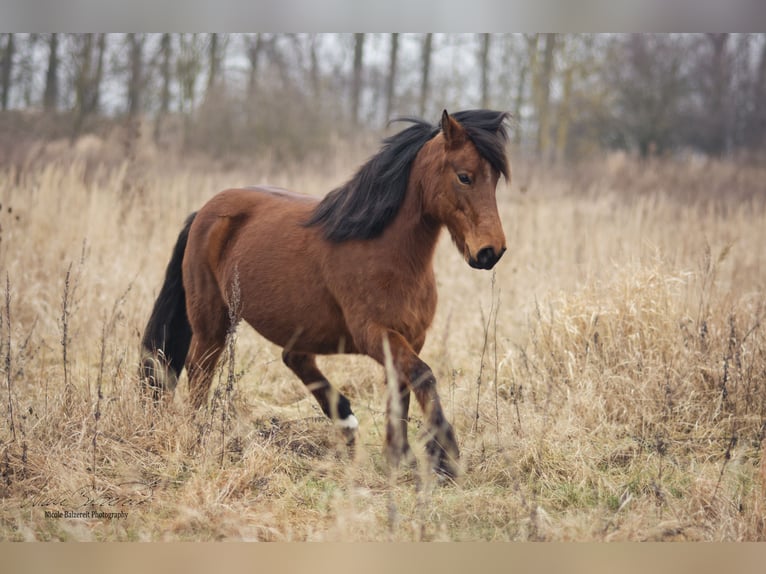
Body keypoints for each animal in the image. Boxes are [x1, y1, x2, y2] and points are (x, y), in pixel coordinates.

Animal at [141, 110, 512, 480]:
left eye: (494, 179)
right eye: (464, 177)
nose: (490, 252)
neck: (381, 248)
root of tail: (203, 213)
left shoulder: (411, 337)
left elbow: (401, 389)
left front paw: (399, 456)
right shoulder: (374, 334)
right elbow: (423, 375)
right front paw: (445, 457)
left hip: (297, 326)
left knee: (293, 358)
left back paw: (345, 421)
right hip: (212, 322)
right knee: (200, 372)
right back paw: (197, 436)